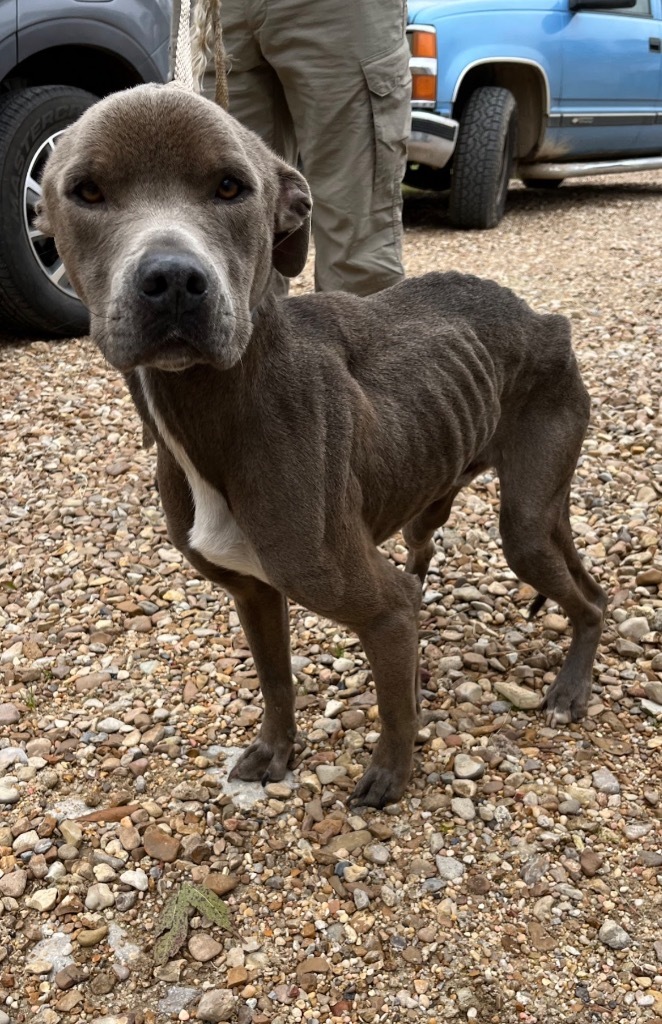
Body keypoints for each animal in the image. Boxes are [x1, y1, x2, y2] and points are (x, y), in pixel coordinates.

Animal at [36, 86, 606, 806]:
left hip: (526, 522)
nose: (172, 280)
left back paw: (570, 691)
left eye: (231, 187)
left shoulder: (382, 608)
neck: (227, 402)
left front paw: (390, 774)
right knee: (497, 567)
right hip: (451, 504)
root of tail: (546, 319)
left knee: (587, 601)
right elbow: (277, 682)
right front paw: (277, 752)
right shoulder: (254, 593)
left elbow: (393, 704)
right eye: (86, 191)